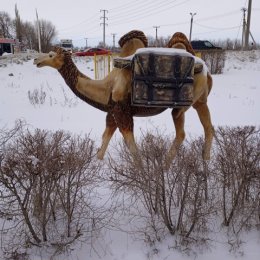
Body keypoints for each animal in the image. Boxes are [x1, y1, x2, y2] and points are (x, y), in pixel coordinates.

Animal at [33, 30, 213, 164]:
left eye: (51, 55)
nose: (36, 60)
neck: (105, 88)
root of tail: (206, 70)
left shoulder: (122, 110)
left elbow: (129, 142)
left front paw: (142, 172)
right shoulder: (112, 111)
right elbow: (106, 135)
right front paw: (97, 161)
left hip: (182, 105)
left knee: (182, 129)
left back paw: (165, 166)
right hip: (201, 102)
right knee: (206, 127)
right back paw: (204, 160)